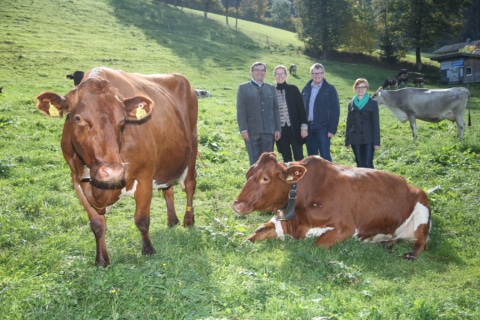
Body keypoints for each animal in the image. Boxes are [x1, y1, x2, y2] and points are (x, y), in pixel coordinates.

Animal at [35, 66, 197, 266]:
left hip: (193, 144)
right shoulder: (76, 180)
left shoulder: (144, 177)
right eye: (78, 118)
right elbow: (97, 224)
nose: (113, 171)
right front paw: (101, 260)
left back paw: (188, 220)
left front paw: (149, 250)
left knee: (190, 185)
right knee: (168, 188)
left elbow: (142, 219)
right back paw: (172, 220)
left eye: (123, 121)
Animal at [232, 152, 432, 260]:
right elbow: (256, 233)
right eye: (248, 174)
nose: (236, 205)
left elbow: (317, 245)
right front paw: (241, 244)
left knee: (421, 241)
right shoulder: (284, 223)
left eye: (265, 178)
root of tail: (410, 185)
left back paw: (410, 254)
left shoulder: (345, 227)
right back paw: (388, 243)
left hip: (422, 210)